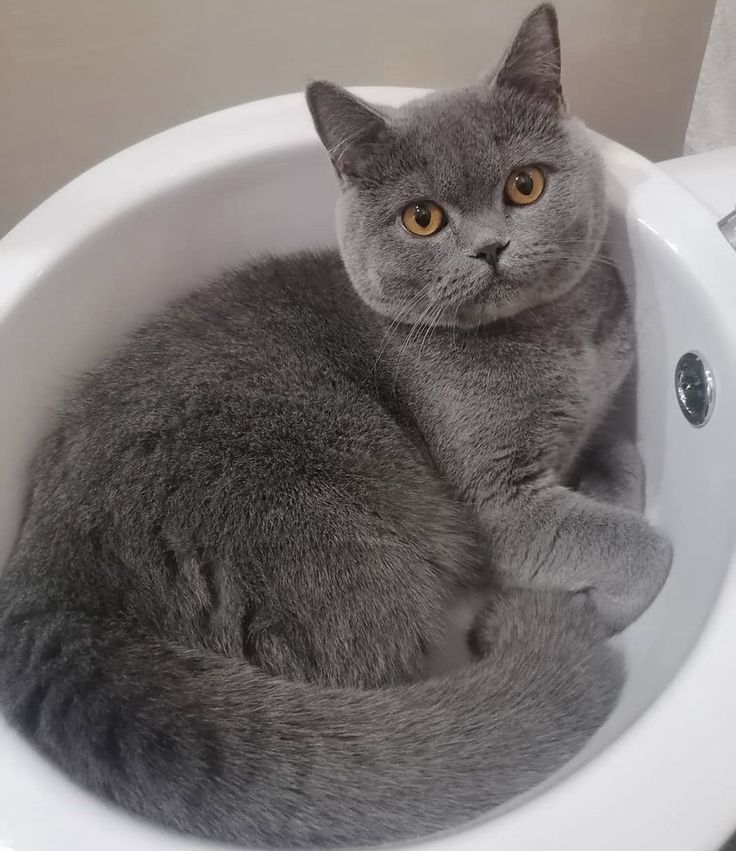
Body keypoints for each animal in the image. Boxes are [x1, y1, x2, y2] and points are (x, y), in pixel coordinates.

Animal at [0, 3, 672, 848]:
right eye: (423, 218)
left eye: (525, 185)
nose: (490, 247)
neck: (558, 336)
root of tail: (48, 592)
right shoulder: (502, 504)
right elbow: (644, 543)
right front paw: (606, 601)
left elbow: (625, 462)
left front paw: (606, 483)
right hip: (335, 545)